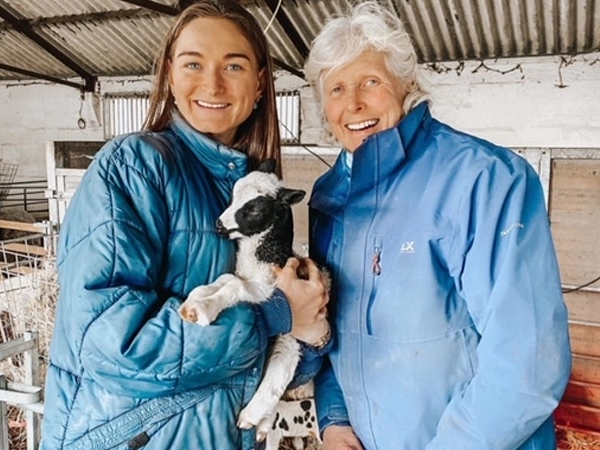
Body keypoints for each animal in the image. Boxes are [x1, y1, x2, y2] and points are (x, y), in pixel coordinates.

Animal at [179, 160, 328, 442]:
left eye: (254, 208)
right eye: (233, 195)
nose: (219, 225)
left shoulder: (268, 290)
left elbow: (234, 286)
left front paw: (203, 310)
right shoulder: (250, 279)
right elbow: (226, 279)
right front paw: (194, 301)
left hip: (290, 339)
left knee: (280, 371)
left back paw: (251, 418)